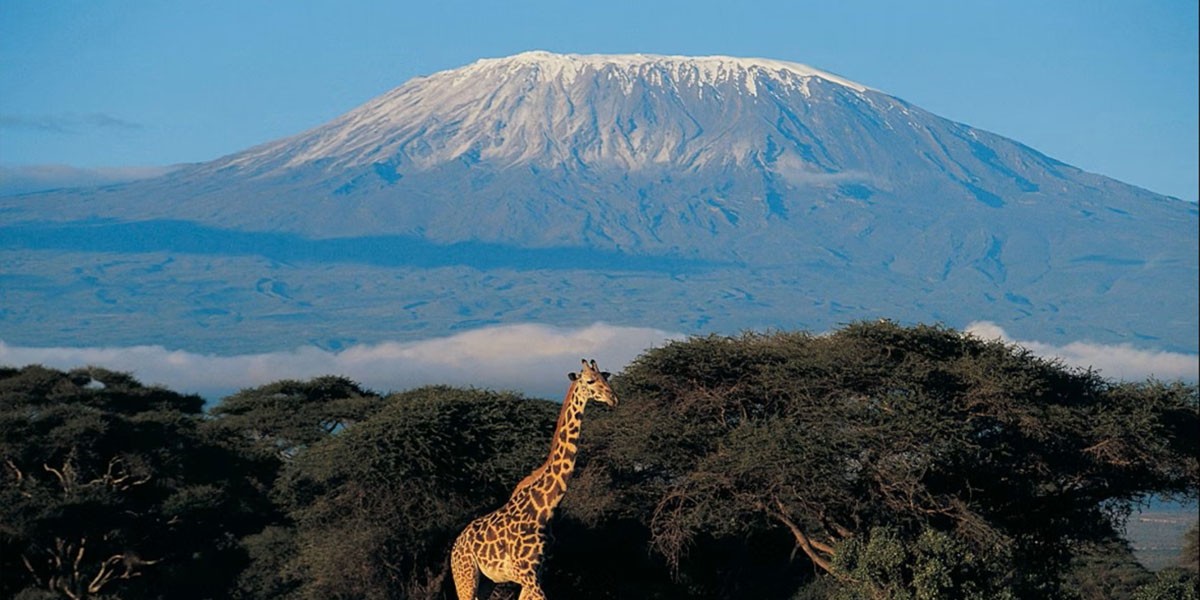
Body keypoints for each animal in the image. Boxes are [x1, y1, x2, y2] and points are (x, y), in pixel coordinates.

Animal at [450, 358, 618, 600]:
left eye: (606, 377)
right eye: (589, 380)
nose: (613, 398)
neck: (546, 507)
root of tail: (455, 546)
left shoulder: (537, 573)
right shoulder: (525, 572)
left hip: (486, 582)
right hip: (465, 575)